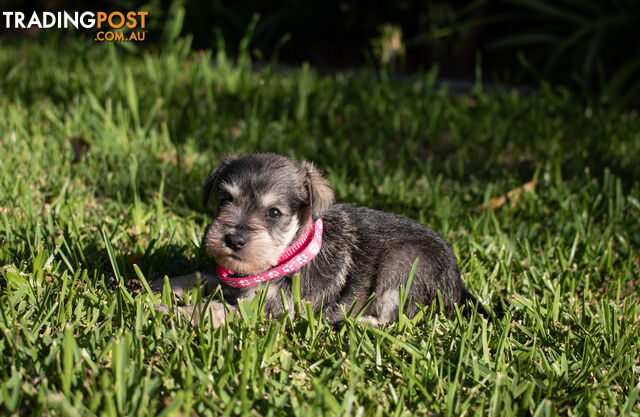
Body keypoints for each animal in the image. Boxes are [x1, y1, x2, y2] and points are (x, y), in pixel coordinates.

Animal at [152, 152, 488, 324]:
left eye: (274, 212)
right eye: (224, 200)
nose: (233, 239)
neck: (287, 256)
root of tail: (458, 284)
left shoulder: (270, 311)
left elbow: (215, 309)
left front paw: (170, 312)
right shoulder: (233, 281)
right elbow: (202, 275)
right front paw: (161, 286)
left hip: (403, 263)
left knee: (395, 317)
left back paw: (352, 322)